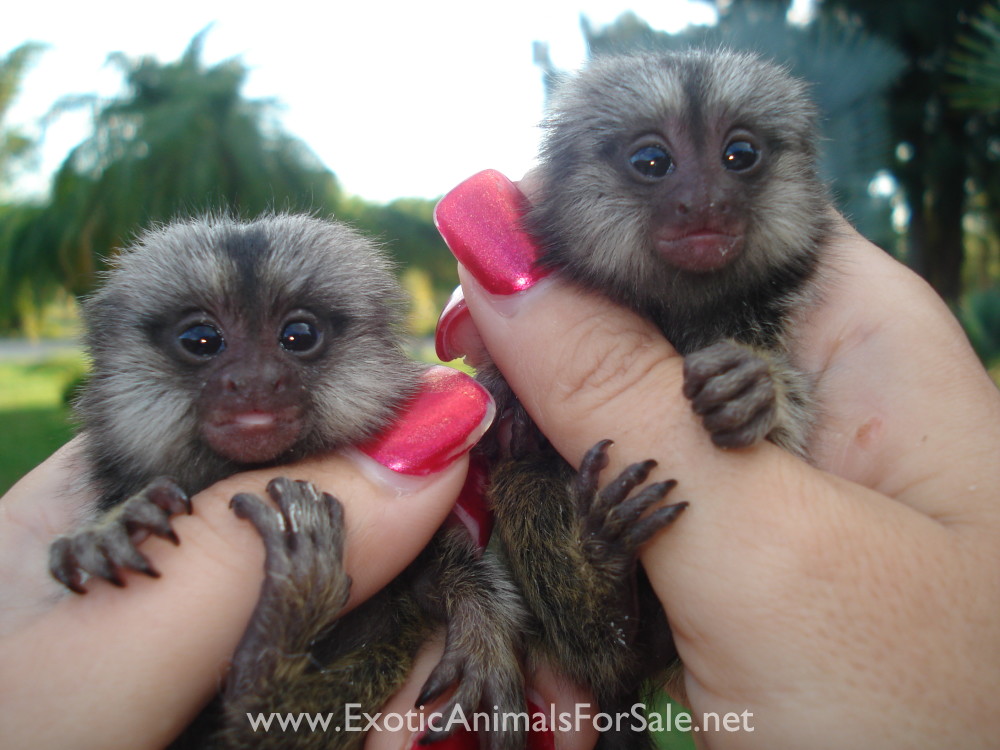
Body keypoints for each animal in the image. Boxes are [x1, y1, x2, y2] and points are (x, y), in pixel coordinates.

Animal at [47, 213, 526, 749]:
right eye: (200, 339)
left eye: (298, 335)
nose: (255, 380)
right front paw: (114, 526)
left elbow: (450, 572)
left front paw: (483, 635)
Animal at [466, 49, 832, 749]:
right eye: (653, 161)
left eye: (739, 154)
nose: (706, 202)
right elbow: (508, 448)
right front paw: (512, 413)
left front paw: (756, 391)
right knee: (526, 484)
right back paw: (612, 599)